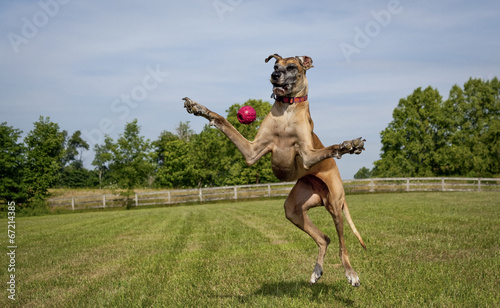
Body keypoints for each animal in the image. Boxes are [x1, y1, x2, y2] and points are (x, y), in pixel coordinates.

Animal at [182, 53, 366, 286]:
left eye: (292, 66)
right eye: (276, 65)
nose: (274, 75)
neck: (287, 112)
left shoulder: (307, 156)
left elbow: (329, 148)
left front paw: (346, 146)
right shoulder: (252, 152)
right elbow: (223, 121)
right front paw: (200, 109)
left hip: (335, 204)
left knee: (342, 245)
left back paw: (350, 273)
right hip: (295, 208)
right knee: (325, 238)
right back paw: (316, 271)